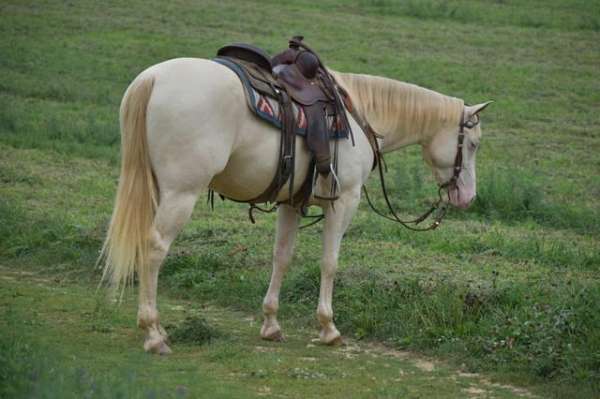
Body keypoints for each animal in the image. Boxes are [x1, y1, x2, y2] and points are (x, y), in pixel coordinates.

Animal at [99, 57, 492, 354]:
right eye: (473, 144)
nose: (467, 197)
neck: (359, 114)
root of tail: (152, 78)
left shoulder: (290, 202)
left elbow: (282, 257)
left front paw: (271, 323)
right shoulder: (344, 202)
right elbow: (330, 263)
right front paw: (328, 327)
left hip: (155, 187)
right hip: (181, 192)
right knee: (154, 248)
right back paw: (153, 333)